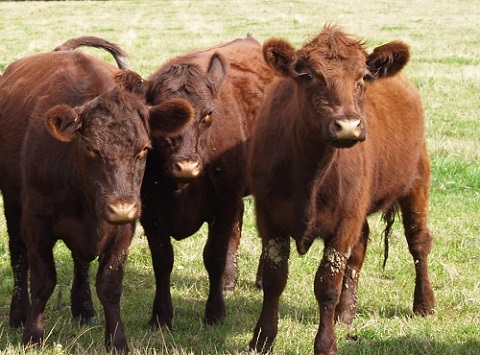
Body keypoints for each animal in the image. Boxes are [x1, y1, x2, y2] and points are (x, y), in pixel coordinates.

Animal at [0, 36, 191, 354]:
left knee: (80, 261)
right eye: (90, 147)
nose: (120, 207)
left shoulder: (125, 229)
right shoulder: (36, 223)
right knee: (18, 257)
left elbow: (110, 285)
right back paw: (17, 315)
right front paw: (33, 336)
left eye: (144, 148)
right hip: (12, 204)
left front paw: (117, 340)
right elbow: (42, 280)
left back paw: (83, 308)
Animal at [141, 34, 272, 330]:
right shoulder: (150, 214)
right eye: (159, 116)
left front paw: (215, 313)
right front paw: (160, 315)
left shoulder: (223, 206)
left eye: (209, 114)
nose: (186, 165)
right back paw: (228, 281)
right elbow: (162, 261)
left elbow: (213, 256)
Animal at [248, 25, 436, 355]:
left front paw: (325, 344)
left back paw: (424, 304)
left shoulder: (343, 223)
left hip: (416, 183)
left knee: (418, 242)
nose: (347, 126)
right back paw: (345, 313)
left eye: (363, 77)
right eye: (308, 75)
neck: (310, 172)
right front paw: (262, 338)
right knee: (360, 251)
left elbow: (327, 285)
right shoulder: (268, 215)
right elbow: (274, 279)